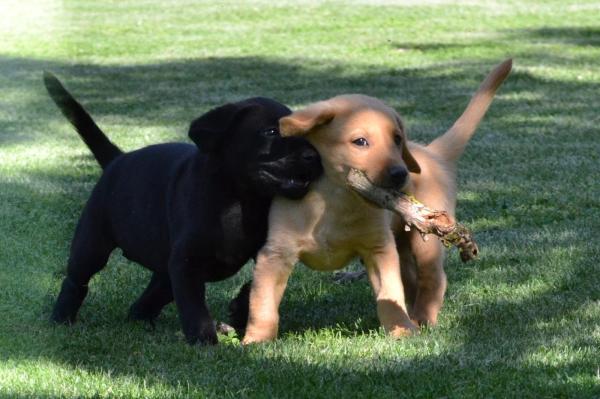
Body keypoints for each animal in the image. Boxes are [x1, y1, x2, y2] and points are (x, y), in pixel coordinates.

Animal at [44, 73, 322, 346]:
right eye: (271, 131)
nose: (314, 156)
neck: (240, 199)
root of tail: (117, 159)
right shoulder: (186, 261)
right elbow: (193, 307)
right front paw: (204, 341)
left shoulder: (263, 251)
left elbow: (256, 284)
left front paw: (239, 308)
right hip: (92, 242)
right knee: (76, 280)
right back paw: (61, 317)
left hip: (164, 267)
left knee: (148, 297)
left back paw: (143, 318)